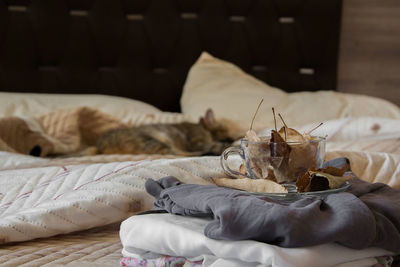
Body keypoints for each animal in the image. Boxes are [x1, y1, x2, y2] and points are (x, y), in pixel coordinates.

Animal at [95, 109, 244, 157]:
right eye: (226, 129)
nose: (233, 136)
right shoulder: (197, 142)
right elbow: (218, 144)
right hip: (155, 140)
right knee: (176, 153)